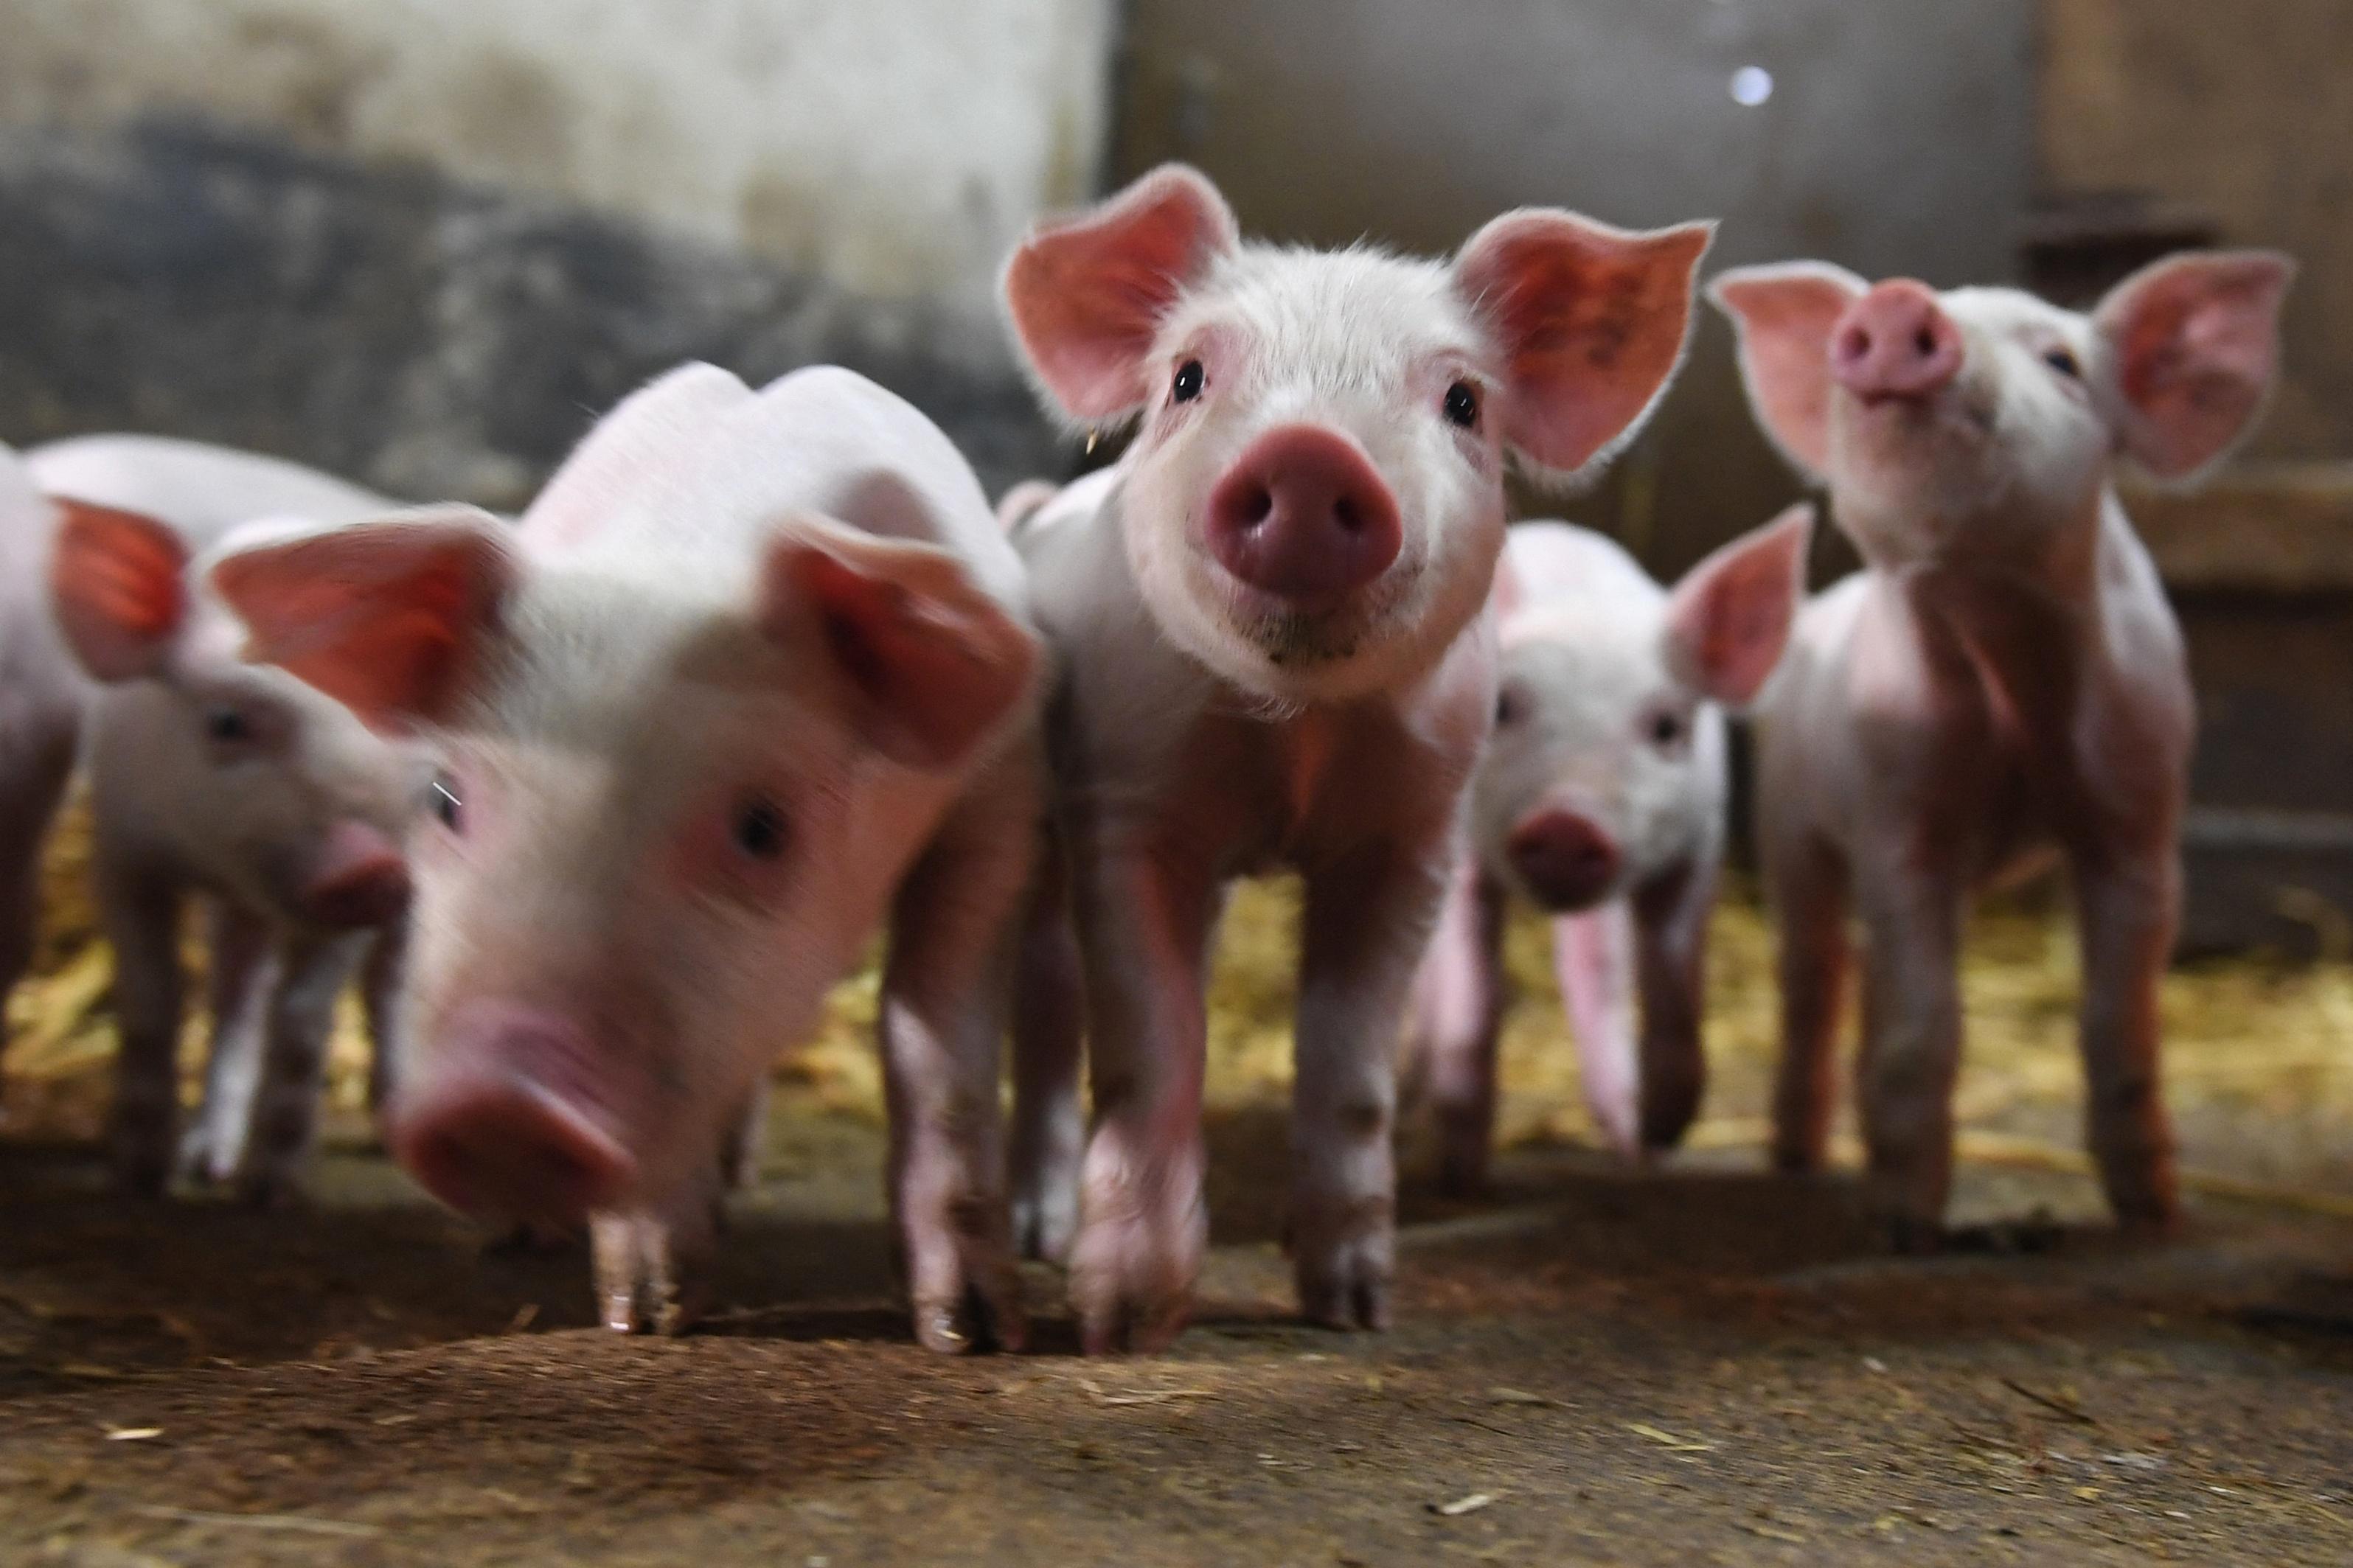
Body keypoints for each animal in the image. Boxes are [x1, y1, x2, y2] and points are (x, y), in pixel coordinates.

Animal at [35, 435, 422, 1204]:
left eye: (389, 721)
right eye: (227, 721)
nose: (368, 864)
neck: (217, 859)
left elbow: (304, 1020)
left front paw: (275, 1192)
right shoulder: (124, 852)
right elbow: (153, 998)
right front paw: (140, 1175)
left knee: (390, 985)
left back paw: (394, 1133)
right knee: (237, 993)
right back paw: (207, 1159)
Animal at [205, 363, 1045, 1347]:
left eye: (763, 826)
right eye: (443, 799)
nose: (499, 1107)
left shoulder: (1001, 795)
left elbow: (935, 1034)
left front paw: (974, 1335)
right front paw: (645, 1319)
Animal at [998, 164, 1712, 1350]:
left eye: (1463, 401)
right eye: (1187, 376)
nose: (1306, 453)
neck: (1294, 741)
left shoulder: (1411, 838)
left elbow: (1349, 1066)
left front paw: (1352, 1308)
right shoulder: (1129, 807)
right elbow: (1148, 1047)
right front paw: (1122, 1323)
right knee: (1053, 1010)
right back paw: (1034, 1239)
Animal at [1405, 506, 1809, 1193]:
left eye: (1667, 726)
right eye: (1502, 706)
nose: (1567, 822)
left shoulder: (1699, 845)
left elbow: (1672, 986)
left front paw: (1662, 1136)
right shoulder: (1460, 854)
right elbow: (1474, 993)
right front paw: (1460, 1172)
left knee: (1593, 966)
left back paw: (1629, 1137)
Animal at [1709, 251, 2293, 1241]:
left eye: (2060, 361)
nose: (1895, 303)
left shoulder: (2138, 813)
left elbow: (2118, 1021)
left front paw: (2153, 1214)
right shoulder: (1897, 813)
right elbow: (1925, 1024)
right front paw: (1902, 1225)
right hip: (1789, 822)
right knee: (1813, 972)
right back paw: (1796, 1157)